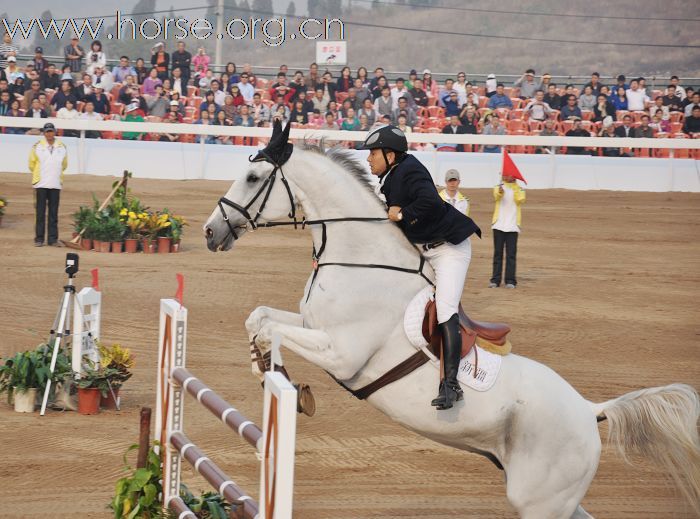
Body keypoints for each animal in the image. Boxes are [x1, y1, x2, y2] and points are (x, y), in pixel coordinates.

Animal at [204, 124, 700, 516]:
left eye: (253, 176)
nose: (211, 231)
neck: (357, 257)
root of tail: (590, 410)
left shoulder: (341, 353)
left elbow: (273, 329)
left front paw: (289, 385)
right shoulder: (313, 325)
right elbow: (259, 318)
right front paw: (262, 366)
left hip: (539, 501)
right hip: (550, 494)